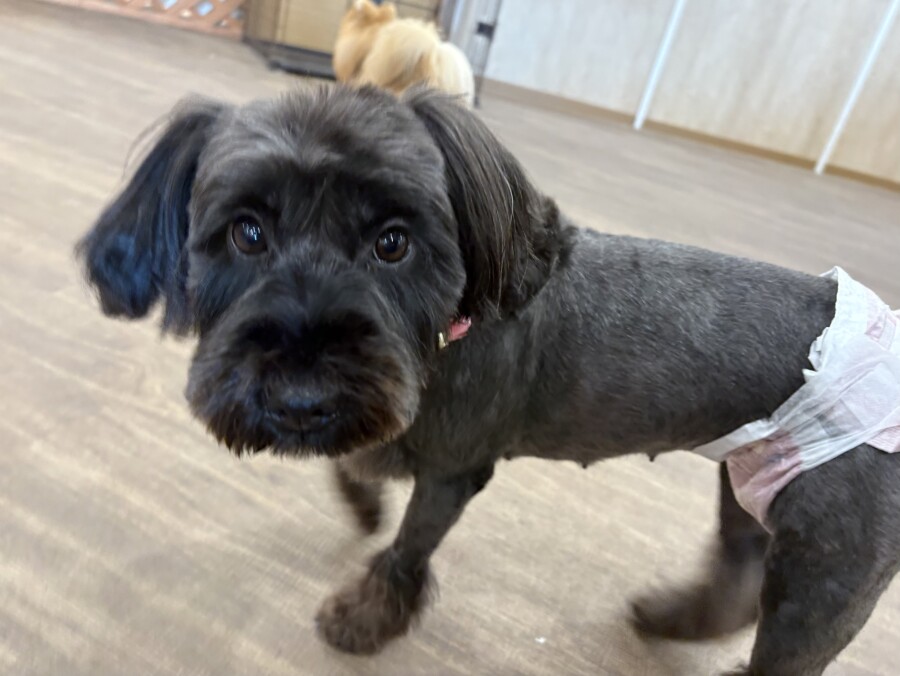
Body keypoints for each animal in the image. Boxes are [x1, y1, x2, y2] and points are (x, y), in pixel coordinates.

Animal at [76, 85, 900, 676]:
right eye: (246, 232)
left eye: (394, 242)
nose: (301, 402)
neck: (449, 330)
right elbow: (363, 462)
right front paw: (361, 498)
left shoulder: (452, 469)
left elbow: (407, 551)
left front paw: (363, 619)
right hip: (751, 483)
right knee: (738, 568)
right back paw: (673, 618)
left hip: (825, 573)